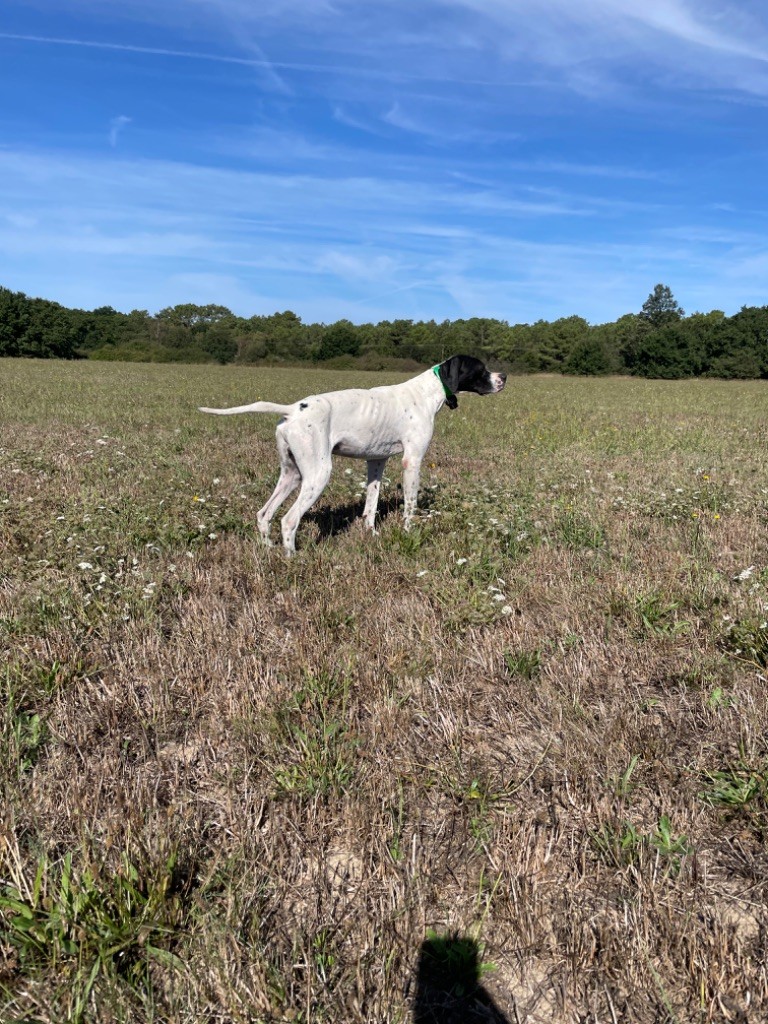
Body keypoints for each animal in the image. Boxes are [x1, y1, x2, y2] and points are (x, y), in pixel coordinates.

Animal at [201, 356, 507, 557]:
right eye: (481, 369)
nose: (504, 377)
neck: (425, 392)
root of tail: (293, 409)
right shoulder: (413, 461)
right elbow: (410, 505)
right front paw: (409, 533)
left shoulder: (376, 462)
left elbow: (371, 504)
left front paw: (371, 534)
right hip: (318, 475)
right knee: (288, 520)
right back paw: (294, 558)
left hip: (292, 475)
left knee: (264, 514)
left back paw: (268, 549)